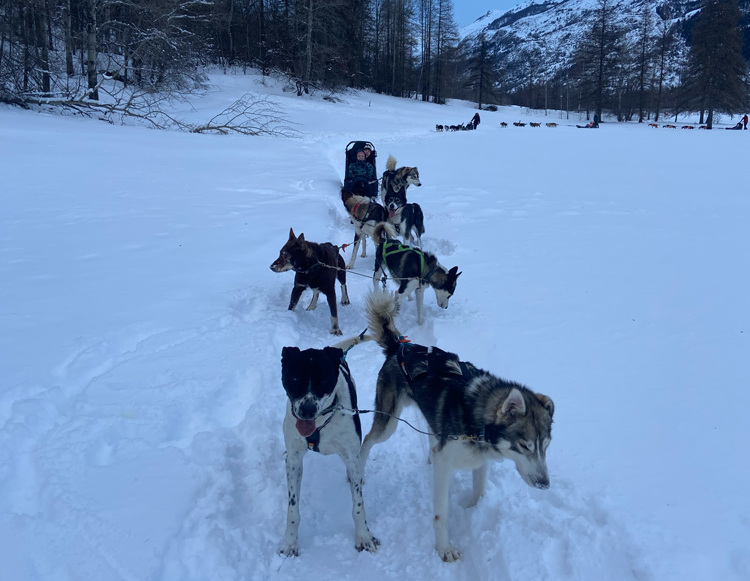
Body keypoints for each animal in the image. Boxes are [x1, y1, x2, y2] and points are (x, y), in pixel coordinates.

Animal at [280, 334, 378, 556]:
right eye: (295, 378)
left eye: (323, 380)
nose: (307, 410)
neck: (319, 424)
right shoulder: (294, 461)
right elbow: (292, 509)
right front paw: (290, 542)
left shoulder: (351, 455)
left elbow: (358, 506)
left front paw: (363, 536)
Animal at [362, 294, 556, 560]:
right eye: (524, 446)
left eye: (546, 446)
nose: (544, 484)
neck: (476, 417)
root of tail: (398, 347)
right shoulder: (445, 465)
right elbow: (441, 514)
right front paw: (444, 548)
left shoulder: (480, 462)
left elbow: (480, 492)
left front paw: (475, 510)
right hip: (388, 423)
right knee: (366, 441)